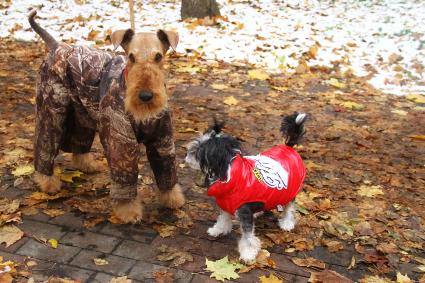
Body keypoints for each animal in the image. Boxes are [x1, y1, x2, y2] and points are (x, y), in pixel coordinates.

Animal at [28, 10, 184, 224]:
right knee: (45, 147)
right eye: (131, 57)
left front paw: (172, 199)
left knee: (79, 145)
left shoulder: (162, 138)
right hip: (51, 110)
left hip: (81, 113)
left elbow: (166, 171)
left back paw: (88, 165)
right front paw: (129, 211)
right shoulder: (120, 138)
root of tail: (56, 46)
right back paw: (48, 183)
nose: (145, 96)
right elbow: (125, 178)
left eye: (158, 56)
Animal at [184, 112, 306, 262]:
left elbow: (248, 237)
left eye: (198, 152)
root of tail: (288, 147)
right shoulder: (226, 204)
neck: (230, 175)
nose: (185, 156)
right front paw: (218, 230)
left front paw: (248, 254)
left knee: (290, 207)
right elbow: (223, 219)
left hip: (289, 191)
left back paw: (287, 222)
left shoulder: (244, 212)